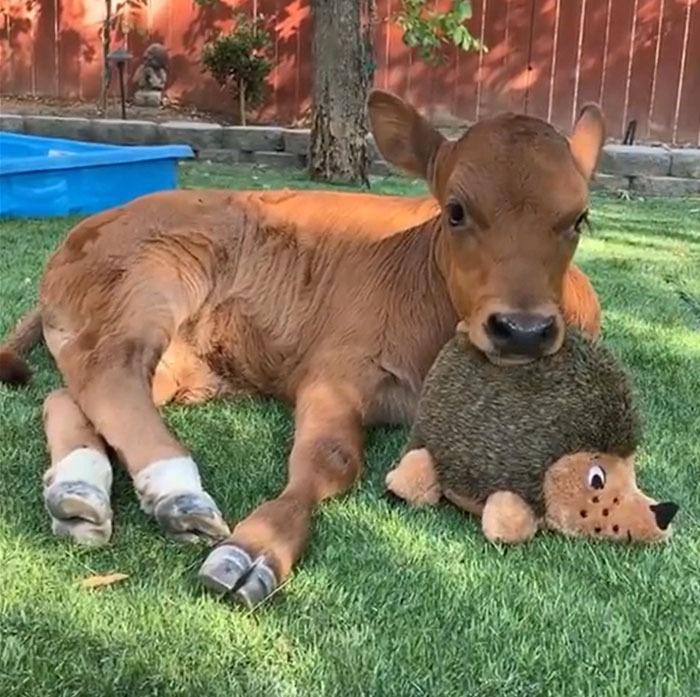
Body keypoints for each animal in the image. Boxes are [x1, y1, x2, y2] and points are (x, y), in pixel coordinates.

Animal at [0, 89, 605, 607]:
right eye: (455, 210)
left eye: (579, 218)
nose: (522, 329)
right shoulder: (335, 372)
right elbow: (330, 458)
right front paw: (255, 550)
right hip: (155, 272)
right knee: (109, 367)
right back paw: (177, 492)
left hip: (180, 360)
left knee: (71, 393)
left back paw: (80, 489)